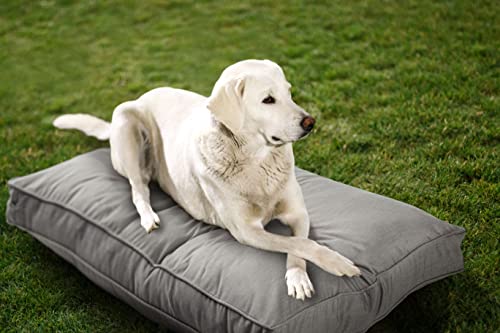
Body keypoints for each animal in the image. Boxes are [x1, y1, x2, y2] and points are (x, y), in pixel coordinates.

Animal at [53, 59, 360, 298]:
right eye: (268, 100)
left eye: (289, 93)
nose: (311, 122)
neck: (256, 160)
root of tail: (141, 96)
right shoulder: (246, 231)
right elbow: (302, 244)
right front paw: (339, 264)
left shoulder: (299, 214)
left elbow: (299, 244)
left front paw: (298, 278)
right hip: (127, 122)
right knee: (138, 189)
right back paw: (149, 217)